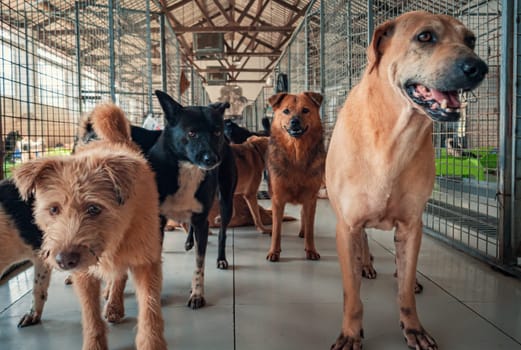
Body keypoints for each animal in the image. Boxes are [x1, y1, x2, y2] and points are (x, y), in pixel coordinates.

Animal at [12, 104, 167, 350]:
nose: (63, 261)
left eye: (94, 209)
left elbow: (150, 310)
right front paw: (94, 343)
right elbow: (90, 313)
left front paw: (151, 343)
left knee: (119, 276)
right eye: (53, 209)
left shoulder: (145, 262)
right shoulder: (84, 274)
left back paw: (114, 304)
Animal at [264, 91, 324, 262]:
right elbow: (277, 229)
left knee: (305, 216)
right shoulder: (278, 198)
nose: (294, 121)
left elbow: (310, 228)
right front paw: (274, 251)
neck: (296, 153)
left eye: (305, 110)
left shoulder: (311, 197)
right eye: (286, 111)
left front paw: (310, 249)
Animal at [324, 11, 488, 350]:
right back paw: (365, 264)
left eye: (471, 40)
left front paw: (413, 327)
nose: (479, 67)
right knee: (363, 244)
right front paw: (351, 333)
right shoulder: (347, 225)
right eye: (425, 36)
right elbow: (352, 294)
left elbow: (406, 286)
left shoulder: (412, 225)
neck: (394, 137)